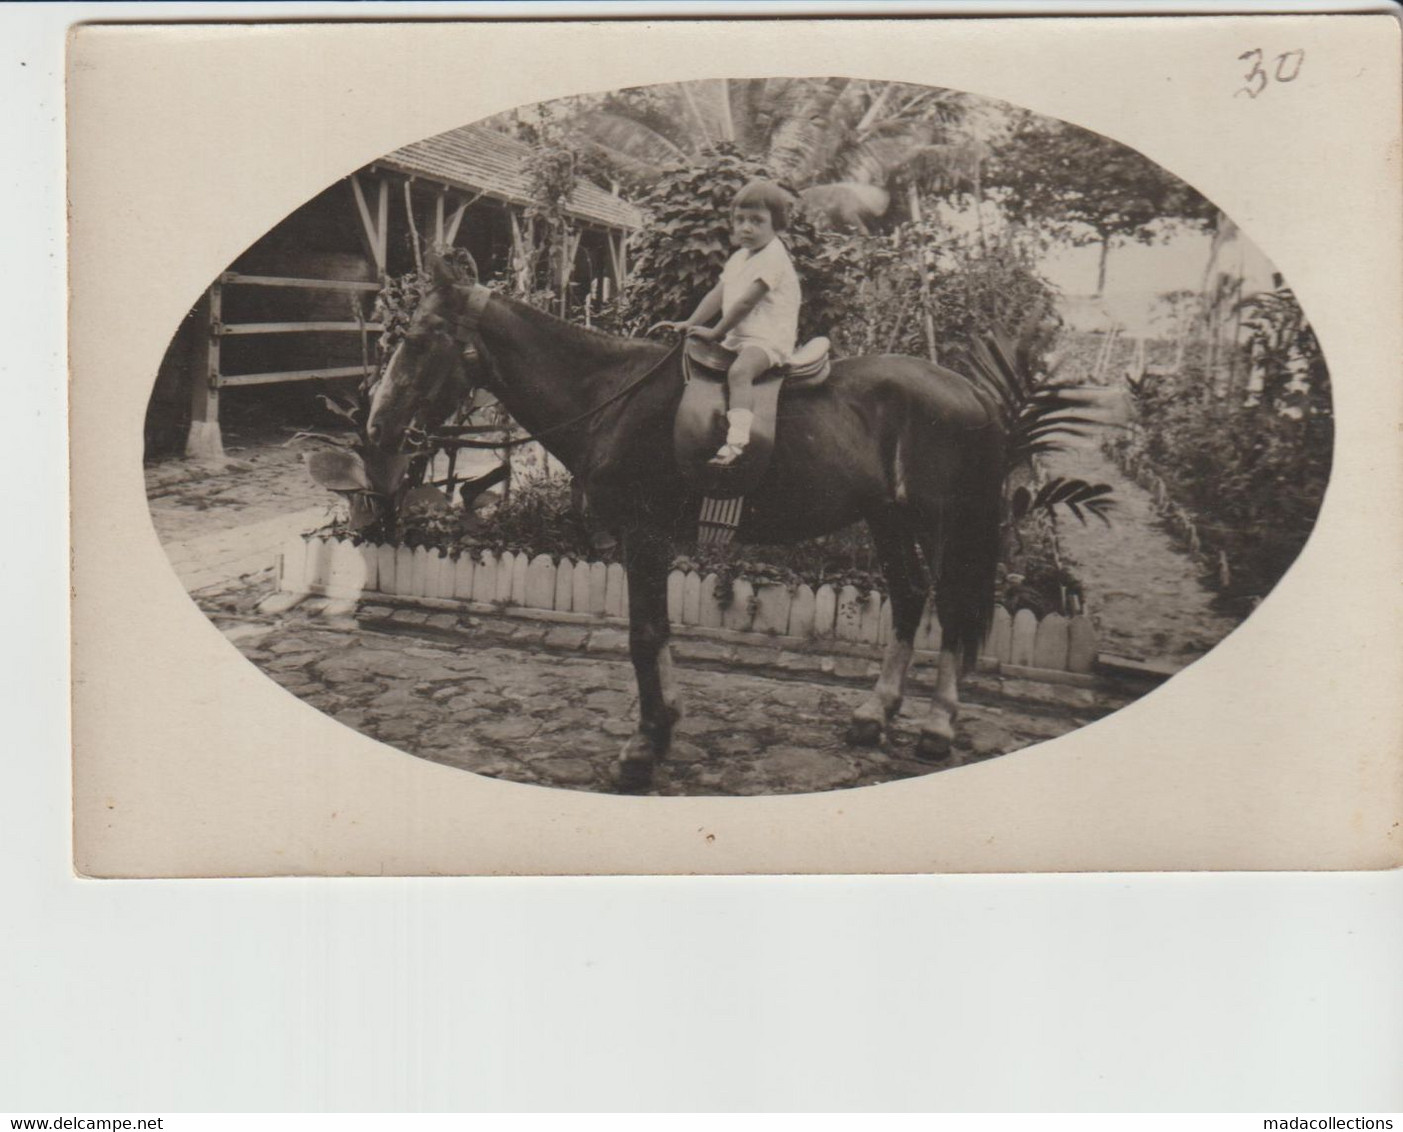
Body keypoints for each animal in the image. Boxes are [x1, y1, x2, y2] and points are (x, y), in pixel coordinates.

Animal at [367, 252, 1004, 791]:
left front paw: (643, 747)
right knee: (909, 595)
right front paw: (665, 724)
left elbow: (645, 635)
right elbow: (659, 631)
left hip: (940, 521)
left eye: (417, 340)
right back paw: (875, 713)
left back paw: (937, 727)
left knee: (950, 606)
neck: (610, 397)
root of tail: (971, 392)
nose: (375, 426)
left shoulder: (643, 532)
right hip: (887, 518)